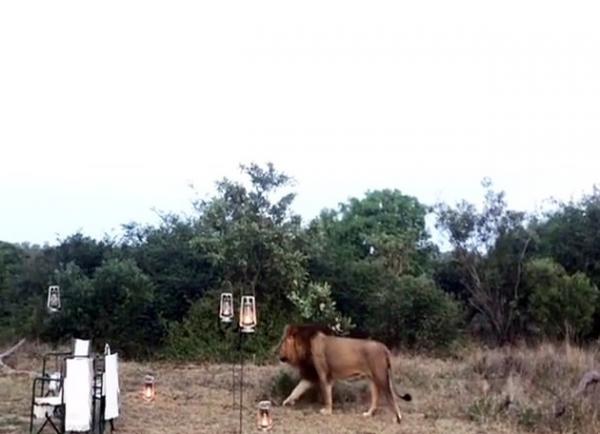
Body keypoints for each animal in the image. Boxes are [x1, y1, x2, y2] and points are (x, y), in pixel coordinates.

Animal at [278, 324, 412, 422]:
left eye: (283, 343)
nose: (279, 357)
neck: (306, 345)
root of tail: (384, 347)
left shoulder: (323, 375)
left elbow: (327, 395)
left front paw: (327, 411)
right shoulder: (311, 376)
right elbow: (296, 389)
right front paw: (287, 402)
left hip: (381, 377)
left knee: (391, 397)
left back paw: (396, 418)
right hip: (372, 379)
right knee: (376, 398)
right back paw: (368, 414)